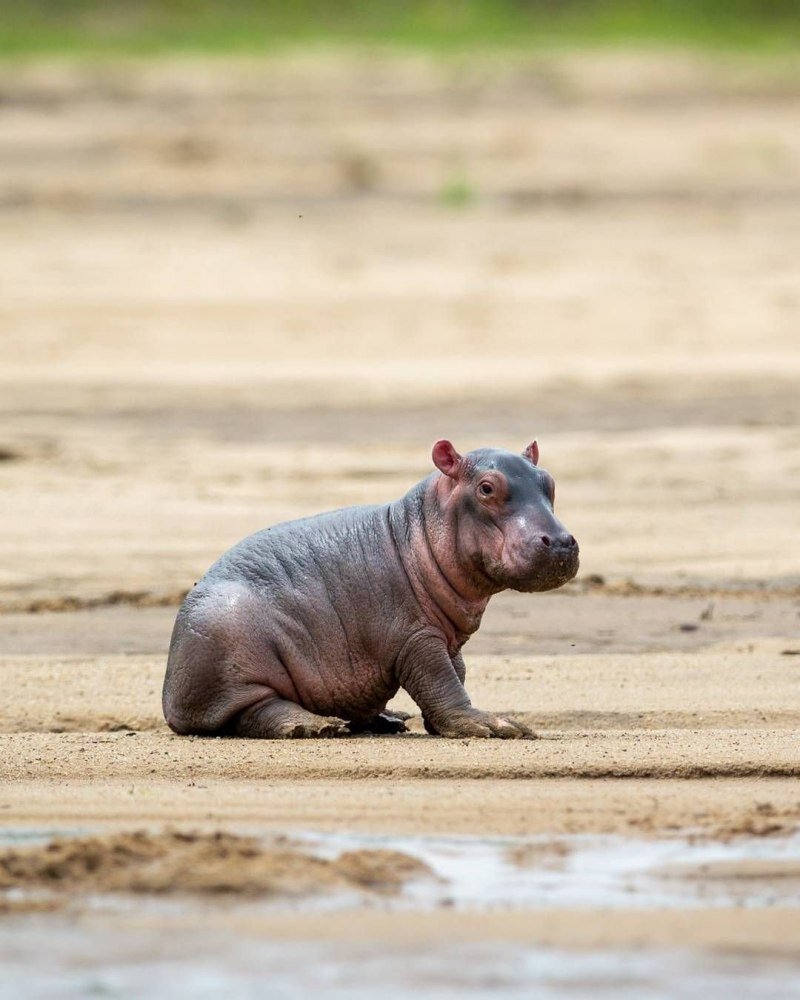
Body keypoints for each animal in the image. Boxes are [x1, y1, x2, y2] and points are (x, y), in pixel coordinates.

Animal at [162, 442, 580, 740]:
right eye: (487, 488)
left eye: (550, 482)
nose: (560, 542)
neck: (419, 530)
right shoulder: (416, 638)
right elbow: (441, 680)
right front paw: (494, 726)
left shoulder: (448, 638)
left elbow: (456, 673)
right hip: (229, 647)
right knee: (254, 710)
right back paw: (315, 726)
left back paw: (387, 720)